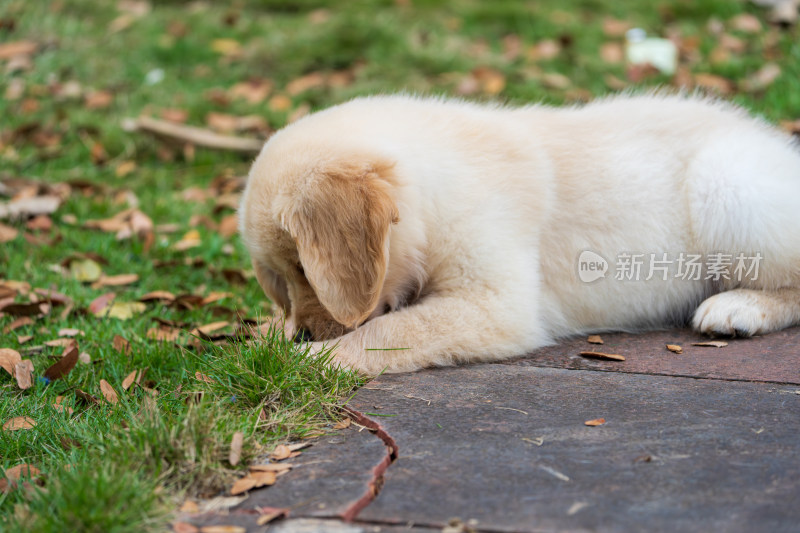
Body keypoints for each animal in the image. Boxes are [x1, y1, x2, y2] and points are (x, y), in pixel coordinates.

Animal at [241, 93, 800, 372]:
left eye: (306, 269)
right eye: (281, 280)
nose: (304, 334)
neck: (434, 187)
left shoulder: (494, 304)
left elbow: (390, 331)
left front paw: (306, 360)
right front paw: (273, 336)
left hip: (728, 184)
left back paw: (738, 308)